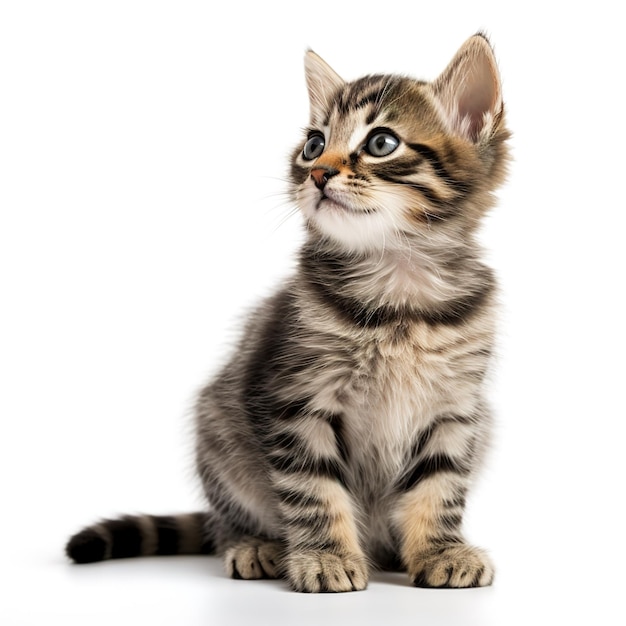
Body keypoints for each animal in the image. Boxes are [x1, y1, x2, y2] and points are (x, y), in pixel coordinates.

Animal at [67, 34, 508, 588]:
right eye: (314, 145)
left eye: (381, 143)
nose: (317, 172)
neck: (398, 297)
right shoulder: (296, 399)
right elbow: (313, 490)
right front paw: (325, 557)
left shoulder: (454, 411)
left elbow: (440, 486)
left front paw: (440, 550)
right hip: (218, 431)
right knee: (225, 521)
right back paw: (255, 545)